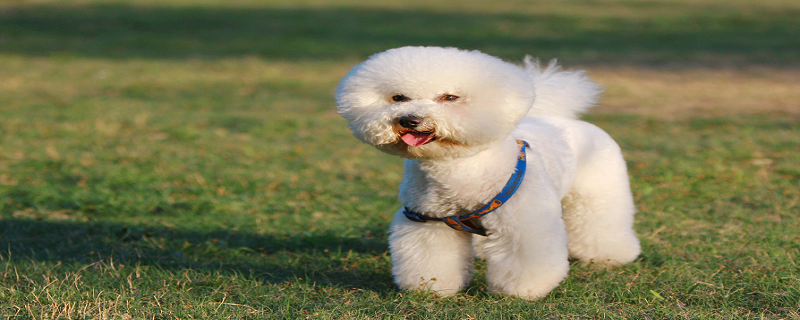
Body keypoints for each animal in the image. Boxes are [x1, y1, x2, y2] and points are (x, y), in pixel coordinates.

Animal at [334, 46, 640, 298]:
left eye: (450, 97)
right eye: (398, 98)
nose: (410, 120)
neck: (456, 167)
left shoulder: (526, 222)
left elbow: (525, 259)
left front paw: (521, 291)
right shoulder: (427, 221)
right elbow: (432, 258)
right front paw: (432, 288)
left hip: (598, 193)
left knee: (600, 223)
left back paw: (610, 255)